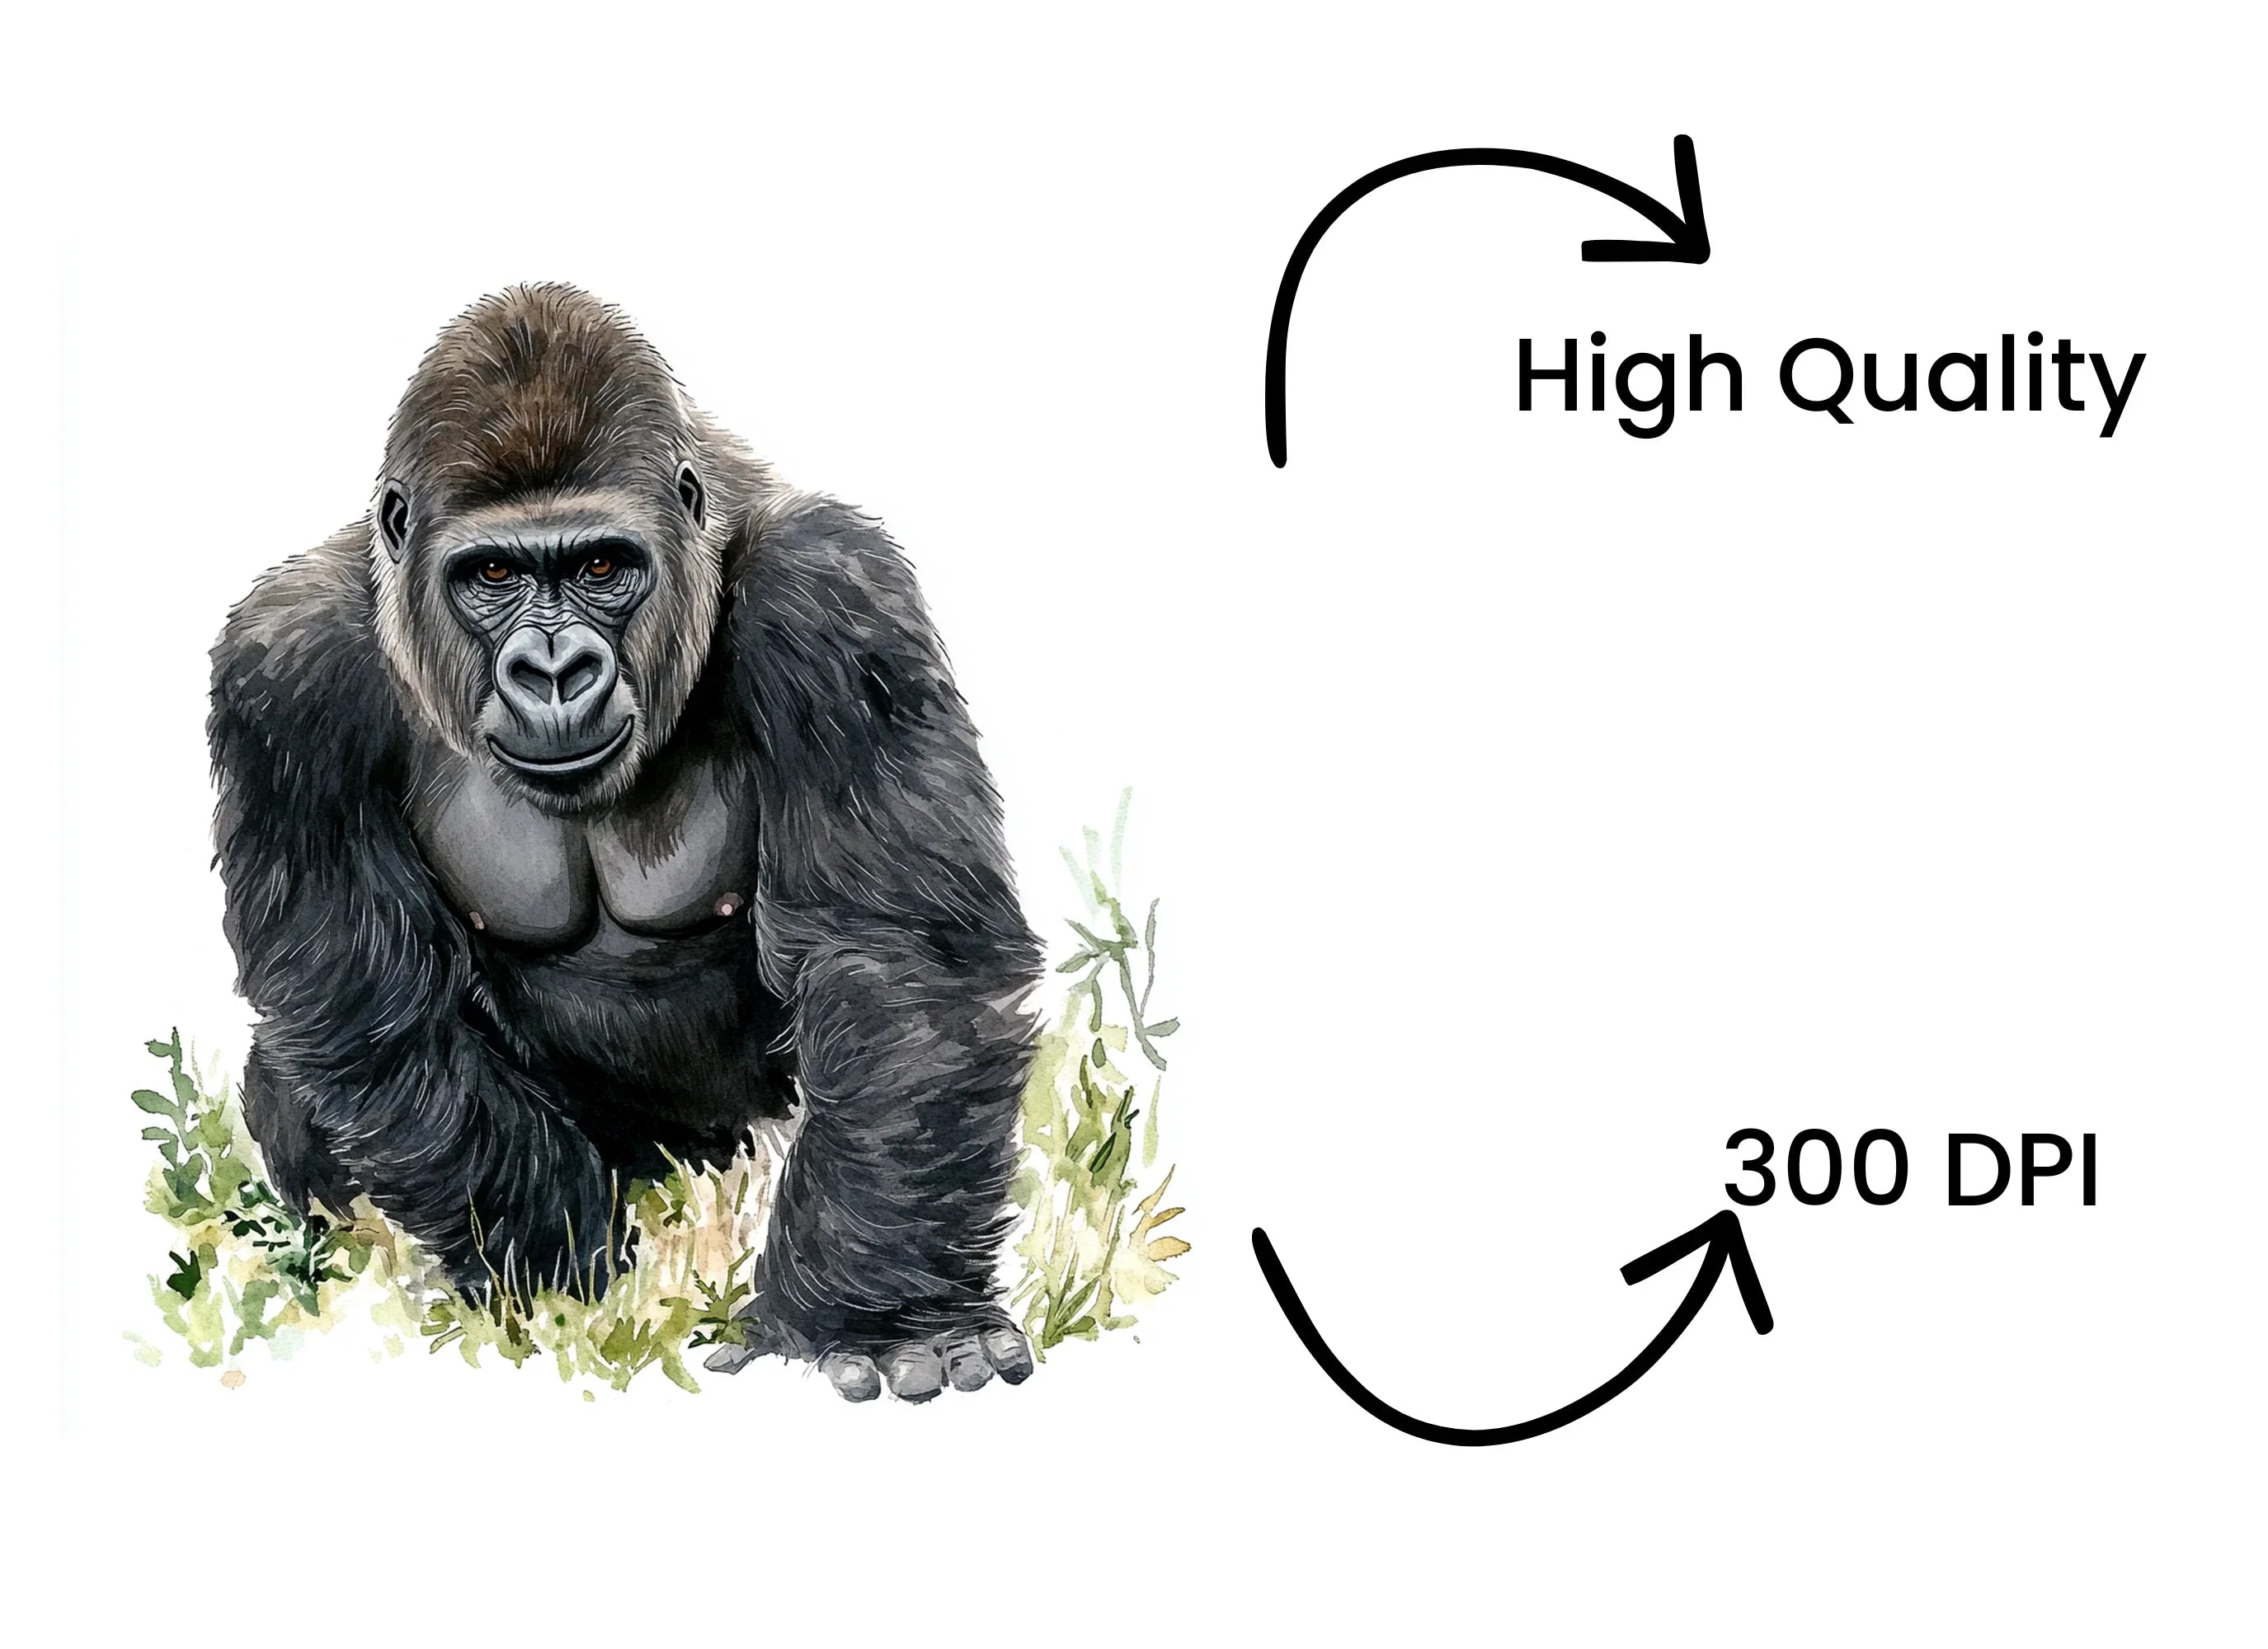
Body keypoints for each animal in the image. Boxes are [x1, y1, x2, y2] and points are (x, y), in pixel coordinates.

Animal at [209, 283, 1040, 1402]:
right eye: (492, 573)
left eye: (603, 565)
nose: (555, 670)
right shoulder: (282, 672)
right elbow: (368, 1009)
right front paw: (560, 1278)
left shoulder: (837, 595)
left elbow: (895, 960)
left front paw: (879, 1317)